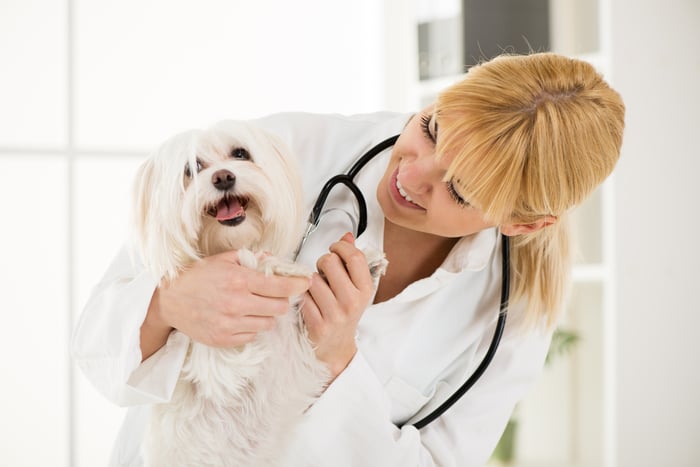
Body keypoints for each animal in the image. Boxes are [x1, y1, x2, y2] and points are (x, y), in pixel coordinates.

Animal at [132, 121, 388, 467]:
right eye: (191, 169)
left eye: (241, 154)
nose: (223, 177)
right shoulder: (218, 364)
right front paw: (266, 265)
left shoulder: (296, 344)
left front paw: (361, 265)